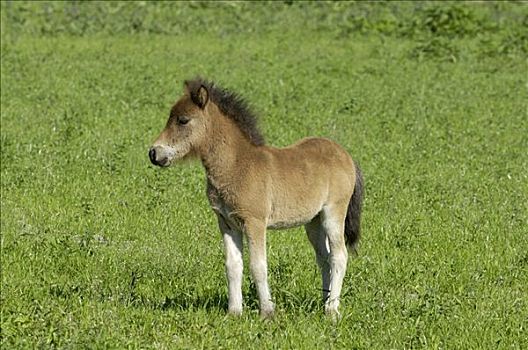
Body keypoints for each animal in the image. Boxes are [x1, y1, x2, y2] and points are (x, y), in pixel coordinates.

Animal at [148, 79, 364, 320]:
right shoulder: (226, 222)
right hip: (313, 222)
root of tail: (346, 156)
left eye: (183, 120)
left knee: (339, 256)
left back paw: (331, 310)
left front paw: (267, 312)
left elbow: (258, 266)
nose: (154, 153)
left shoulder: (255, 222)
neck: (236, 165)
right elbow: (233, 266)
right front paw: (234, 312)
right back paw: (322, 302)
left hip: (333, 213)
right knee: (324, 258)